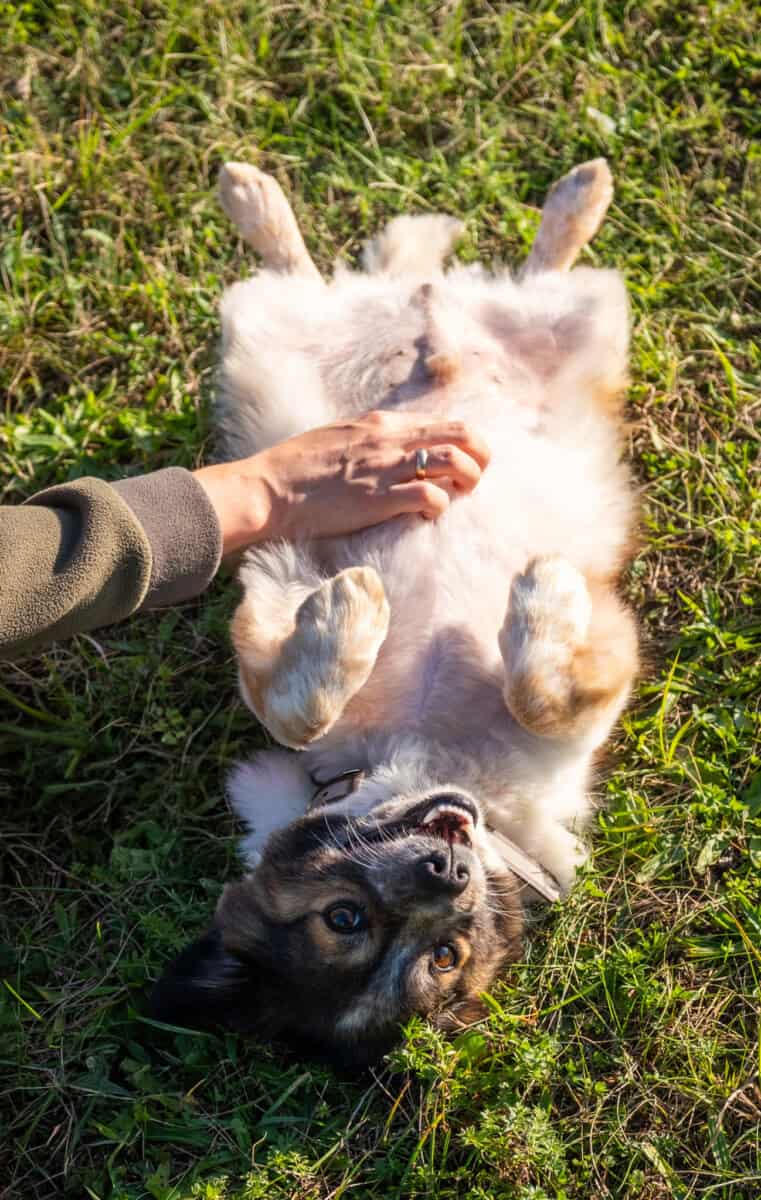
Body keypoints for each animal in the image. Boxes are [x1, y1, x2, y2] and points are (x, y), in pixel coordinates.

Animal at [151, 157, 639, 1067]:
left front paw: (533, 593)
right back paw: (254, 195)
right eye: (346, 920)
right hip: (265, 350)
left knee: (537, 269)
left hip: (577, 324)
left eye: (445, 954)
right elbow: (299, 707)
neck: (419, 756)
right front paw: (364, 613)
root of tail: (420, 302)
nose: (448, 875)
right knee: (295, 272)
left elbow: (537, 695)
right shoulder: (277, 579)